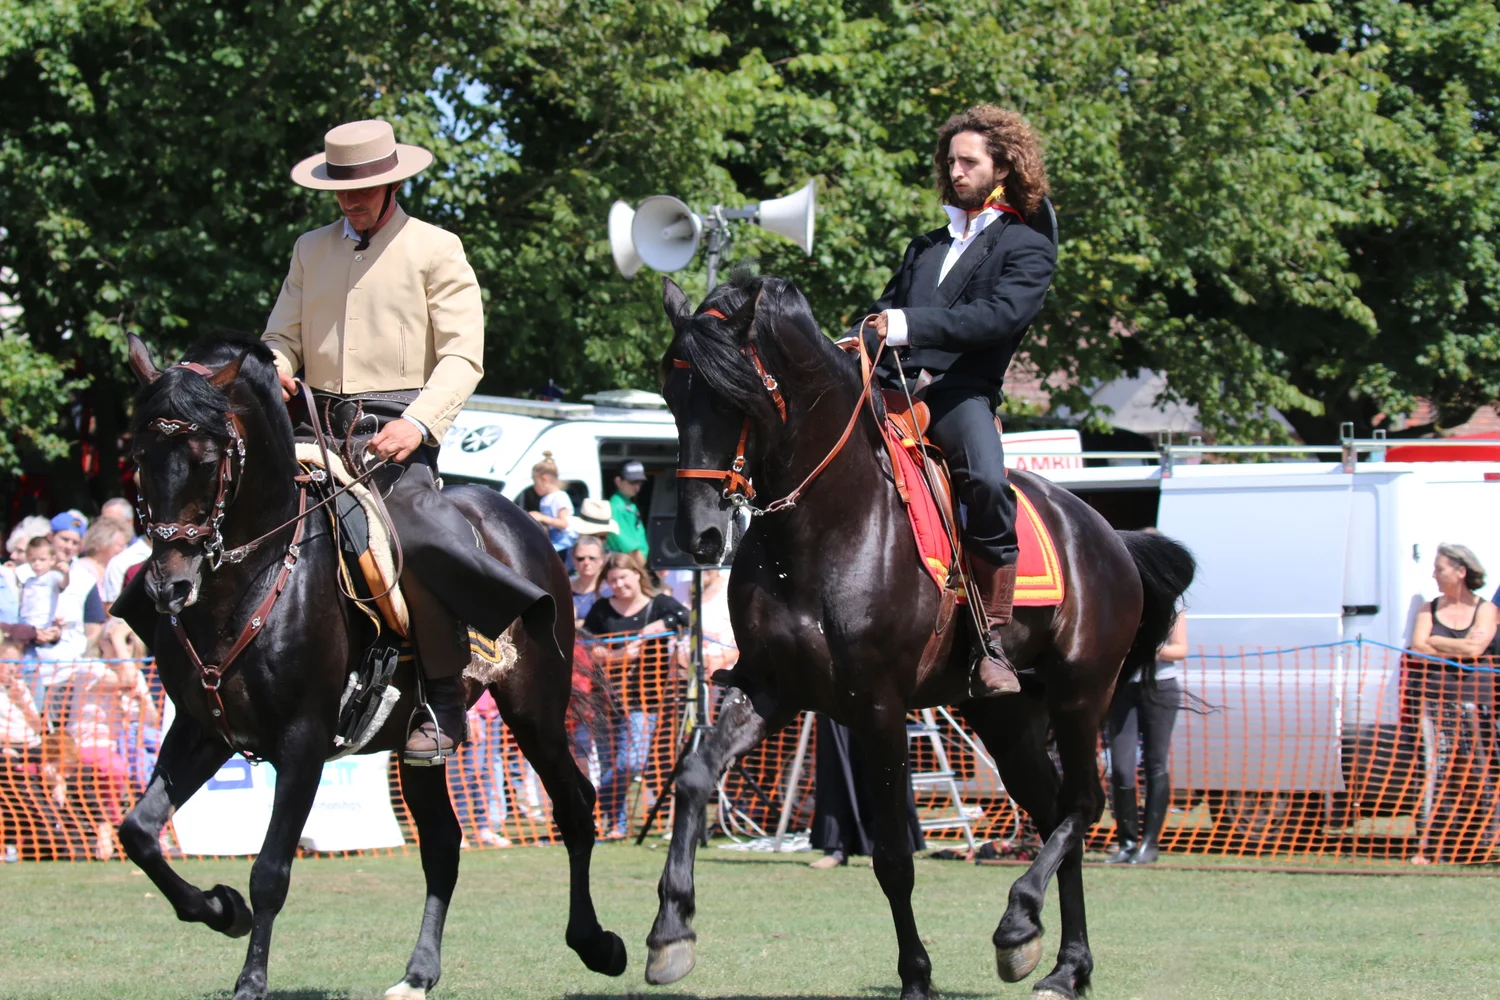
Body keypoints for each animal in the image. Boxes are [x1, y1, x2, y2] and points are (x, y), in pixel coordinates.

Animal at [113, 334, 626, 1000]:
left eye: (206, 458)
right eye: (141, 455)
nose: (169, 587)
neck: (253, 581)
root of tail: (523, 525)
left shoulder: (302, 742)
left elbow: (271, 870)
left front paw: (250, 977)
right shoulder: (204, 730)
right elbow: (139, 833)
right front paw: (222, 909)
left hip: (535, 711)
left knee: (574, 807)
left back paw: (597, 944)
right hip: (418, 744)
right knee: (444, 844)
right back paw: (419, 972)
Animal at [643, 275, 1195, 1000]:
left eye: (733, 396)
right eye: (673, 396)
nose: (699, 535)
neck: (823, 523)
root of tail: (1109, 537)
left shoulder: (877, 708)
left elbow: (892, 859)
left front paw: (916, 977)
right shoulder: (771, 687)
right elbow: (693, 776)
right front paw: (670, 932)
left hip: (1082, 697)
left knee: (1084, 803)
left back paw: (1020, 923)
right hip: (1007, 718)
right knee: (1054, 813)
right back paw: (1063, 963)